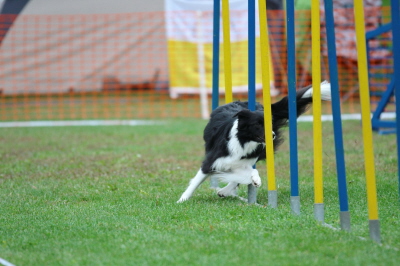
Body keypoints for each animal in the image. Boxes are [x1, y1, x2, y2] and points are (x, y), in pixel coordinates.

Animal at [177, 81, 332, 202]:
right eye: (257, 125)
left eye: (270, 125)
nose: (272, 135)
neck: (243, 142)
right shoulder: (213, 160)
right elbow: (196, 181)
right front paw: (182, 200)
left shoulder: (243, 161)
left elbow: (248, 173)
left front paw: (255, 180)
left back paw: (224, 191)